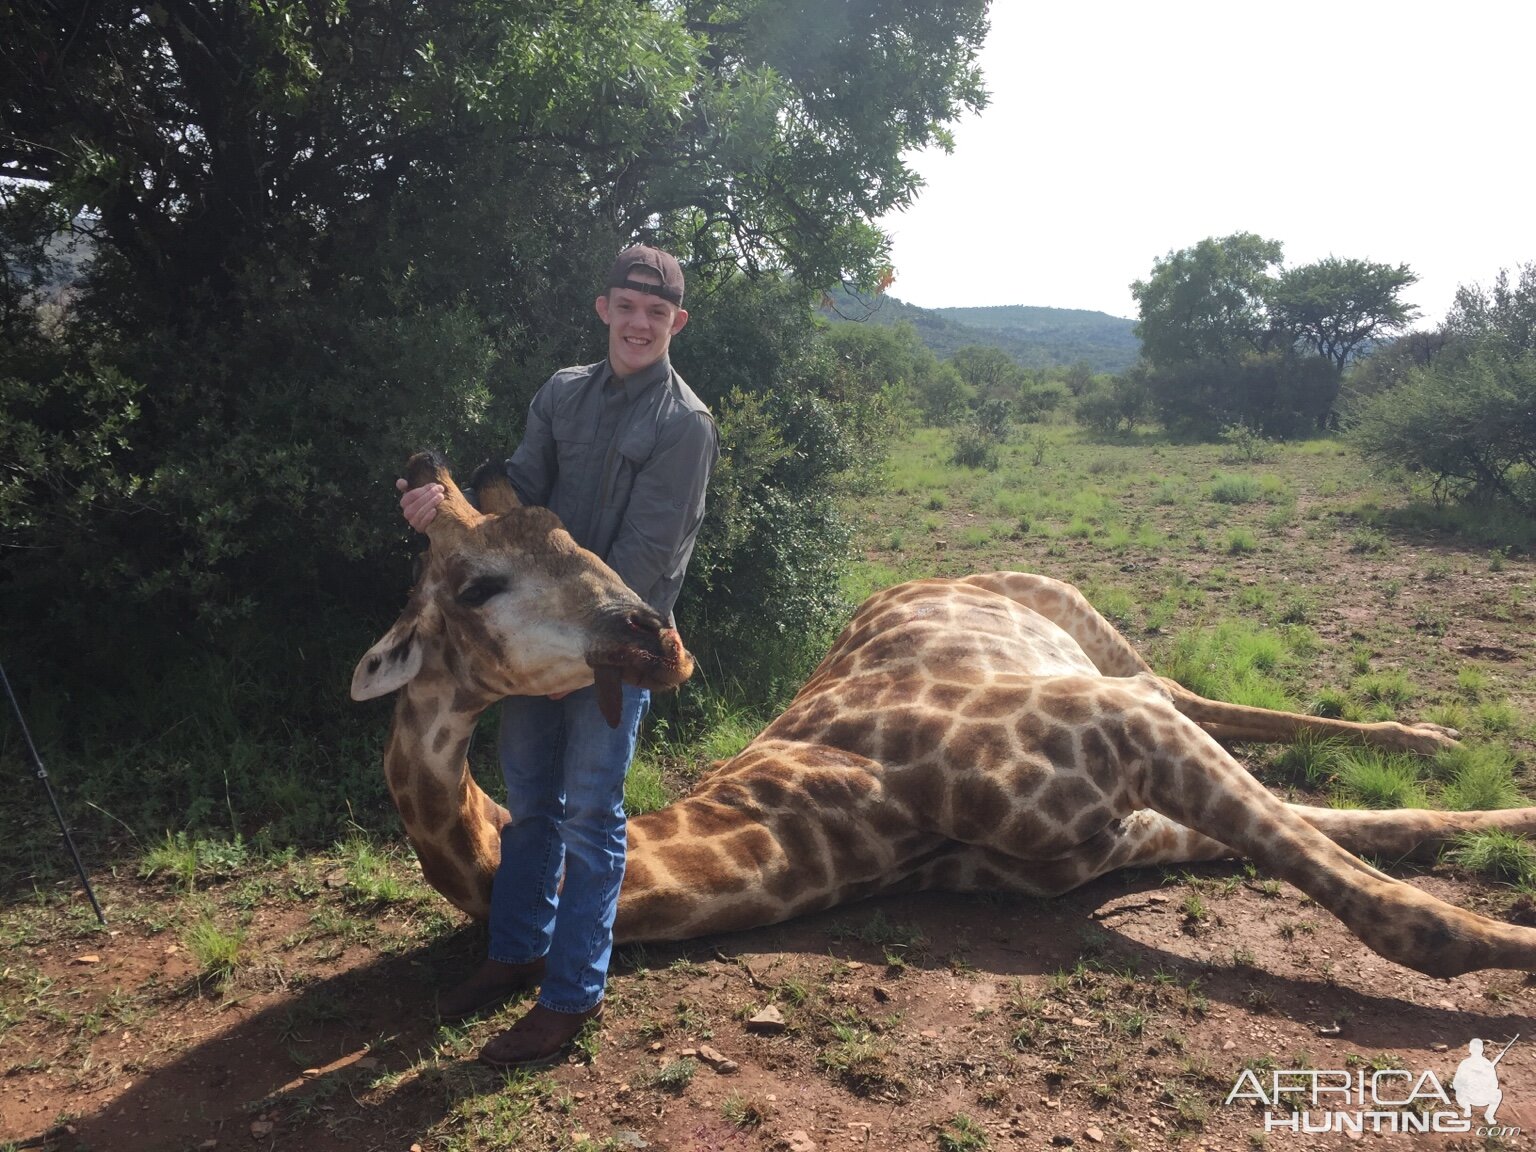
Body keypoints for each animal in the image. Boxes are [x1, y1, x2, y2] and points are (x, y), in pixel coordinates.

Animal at [353, 454, 1536, 976]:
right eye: (478, 586)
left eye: (575, 538)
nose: (653, 634)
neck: (847, 822)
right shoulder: (1115, 828)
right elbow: (1387, 845)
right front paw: (1503, 833)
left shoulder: (1121, 732)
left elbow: (1403, 914)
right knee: (1211, 706)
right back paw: (1437, 747)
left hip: (1085, 622)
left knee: (1192, 687)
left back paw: (1427, 736)